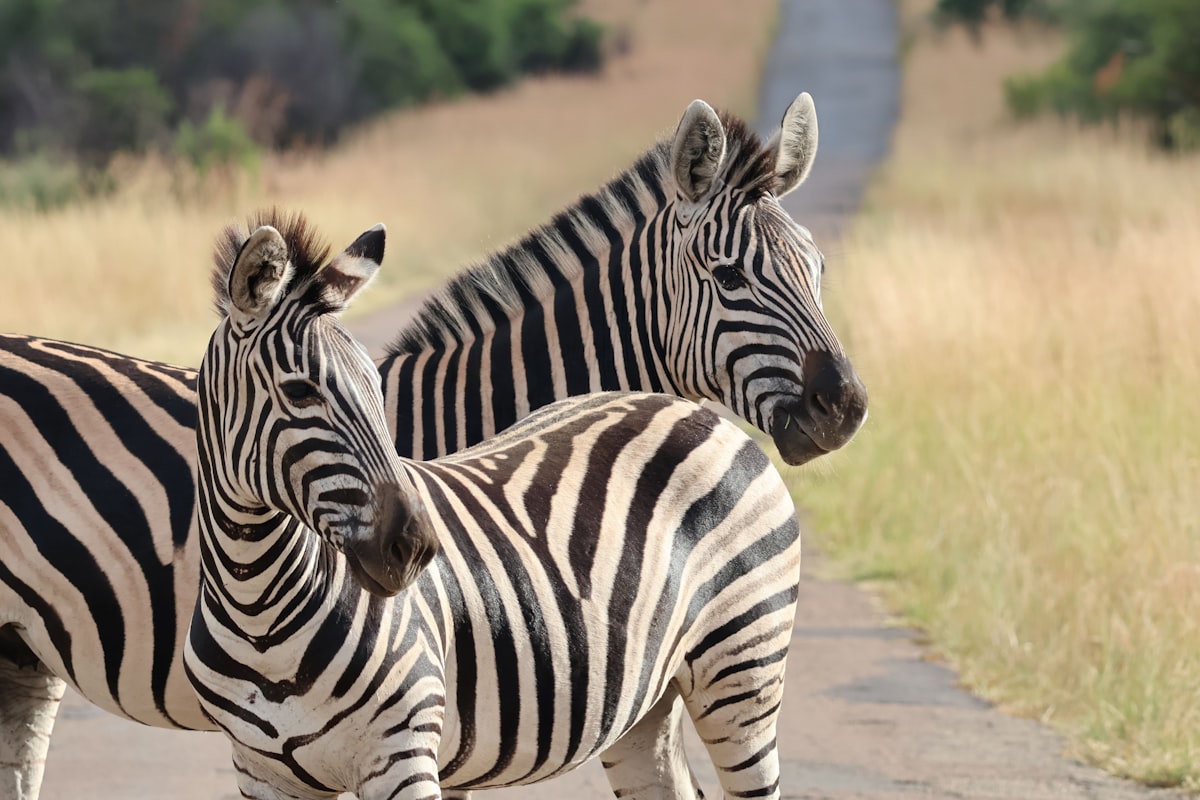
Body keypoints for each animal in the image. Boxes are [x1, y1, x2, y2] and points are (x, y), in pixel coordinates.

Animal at [187, 216, 803, 800]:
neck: (260, 612)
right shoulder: (263, 774)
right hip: (646, 706)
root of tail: (690, 408)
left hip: (744, 668)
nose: (415, 547)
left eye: (376, 387)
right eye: (299, 392)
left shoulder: (403, 756)